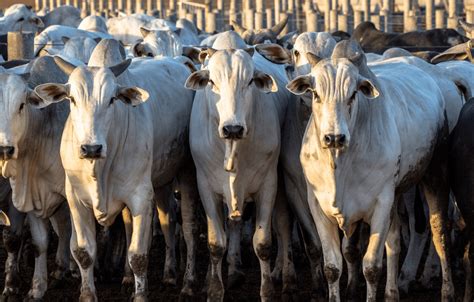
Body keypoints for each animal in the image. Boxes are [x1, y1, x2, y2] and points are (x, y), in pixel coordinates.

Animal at [33, 39, 196, 300]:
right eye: (72, 99)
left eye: (112, 99)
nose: (91, 148)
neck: (99, 169)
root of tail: (180, 61)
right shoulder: (75, 199)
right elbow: (84, 252)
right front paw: (88, 294)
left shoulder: (141, 196)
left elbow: (138, 255)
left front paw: (141, 295)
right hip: (161, 179)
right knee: (165, 221)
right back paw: (162, 274)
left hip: (187, 171)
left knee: (188, 228)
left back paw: (188, 283)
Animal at [286, 39, 458, 300]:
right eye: (315, 93)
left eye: (353, 94)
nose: (334, 138)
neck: (339, 164)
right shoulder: (317, 206)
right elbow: (333, 266)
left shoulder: (380, 204)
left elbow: (372, 267)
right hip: (397, 193)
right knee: (395, 242)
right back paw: (393, 291)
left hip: (435, 173)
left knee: (439, 234)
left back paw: (447, 291)